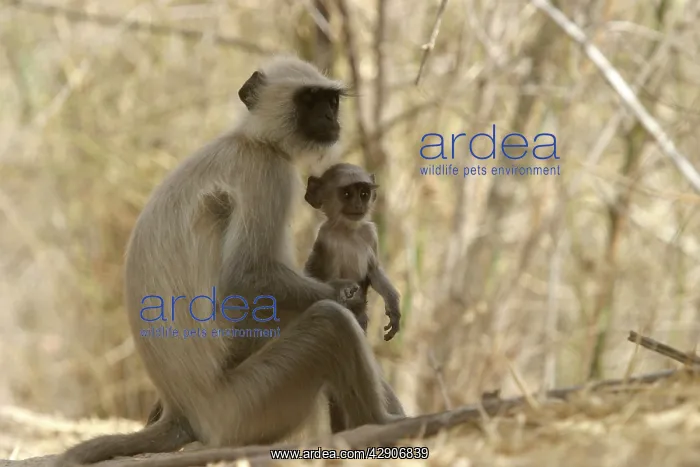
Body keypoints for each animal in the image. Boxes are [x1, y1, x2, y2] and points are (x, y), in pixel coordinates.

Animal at [302, 163, 405, 433]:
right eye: (347, 194)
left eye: (364, 193)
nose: (358, 205)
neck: (348, 232)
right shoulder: (325, 239)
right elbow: (311, 276)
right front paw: (344, 290)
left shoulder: (370, 233)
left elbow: (374, 271)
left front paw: (394, 308)